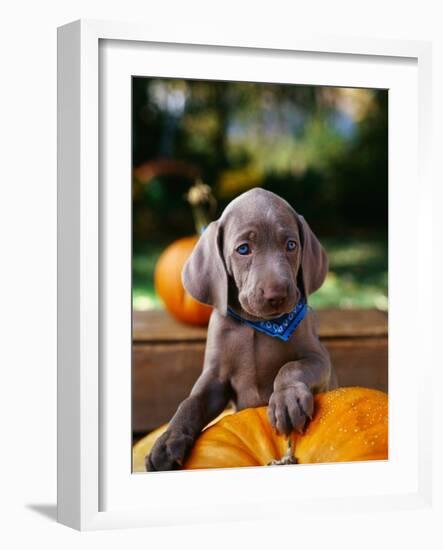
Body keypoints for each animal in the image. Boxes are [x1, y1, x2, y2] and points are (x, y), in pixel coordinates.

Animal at [146, 188, 336, 472]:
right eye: (243, 249)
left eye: (291, 245)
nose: (277, 294)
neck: (258, 326)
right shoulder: (215, 379)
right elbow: (190, 403)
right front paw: (167, 441)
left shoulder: (319, 360)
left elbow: (291, 367)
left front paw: (286, 401)